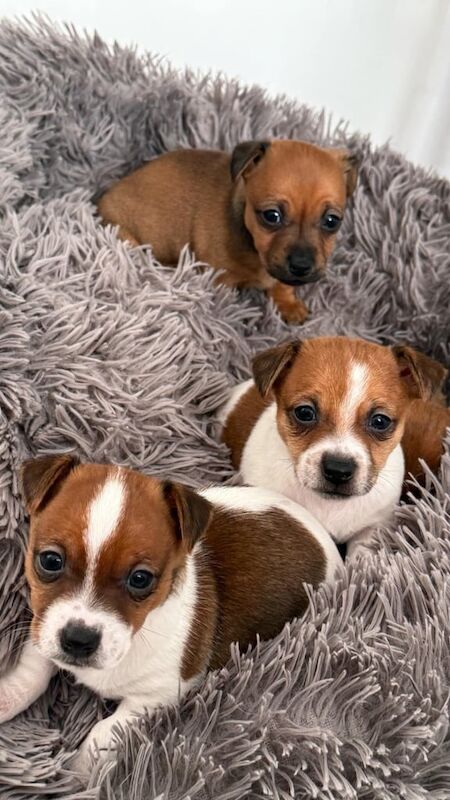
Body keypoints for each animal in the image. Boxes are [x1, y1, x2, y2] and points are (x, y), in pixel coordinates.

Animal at [0, 460, 338, 772]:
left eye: (140, 579)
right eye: (50, 560)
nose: (78, 640)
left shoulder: (155, 697)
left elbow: (101, 734)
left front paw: (78, 777)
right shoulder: (42, 628)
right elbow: (31, 675)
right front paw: (6, 698)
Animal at [97, 140, 358, 322]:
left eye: (332, 221)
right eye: (271, 216)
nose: (301, 265)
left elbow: (282, 284)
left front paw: (289, 304)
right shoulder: (220, 278)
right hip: (126, 238)